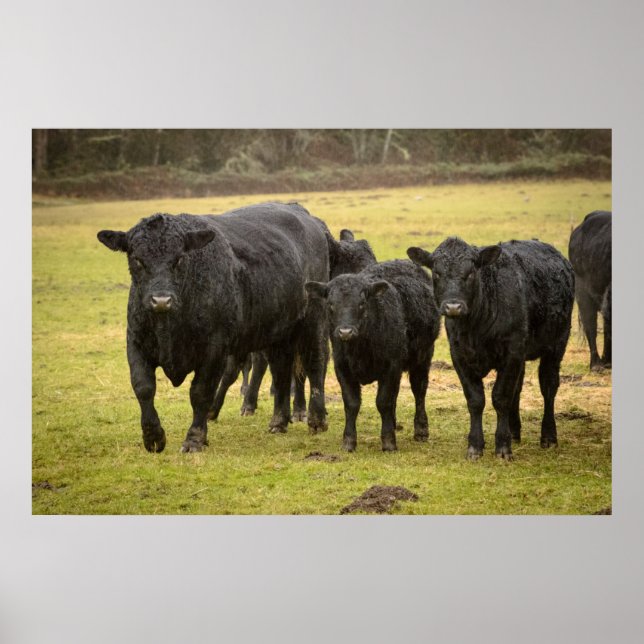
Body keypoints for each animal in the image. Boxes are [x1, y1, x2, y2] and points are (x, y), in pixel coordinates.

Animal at [97, 202, 330, 453]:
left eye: (179, 259)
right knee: (280, 370)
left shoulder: (214, 350)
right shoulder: (136, 343)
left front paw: (194, 439)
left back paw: (316, 419)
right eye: (137, 259)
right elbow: (143, 387)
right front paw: (153, 436)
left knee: (315, 363)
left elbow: (201, 392)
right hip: (277, 333)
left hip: (313, 321)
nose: (161, 300)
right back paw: (278, 421)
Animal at [305, 260, 440, 452]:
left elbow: (383, 402)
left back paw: (421, 430)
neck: (360, 349)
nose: (345, 332)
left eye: (362, 303)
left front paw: (388, 442)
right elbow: (352, 403)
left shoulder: (391, 366)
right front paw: (349, 441)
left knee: (419, 390)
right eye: (330, 304)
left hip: (423, 357)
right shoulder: (342, 367)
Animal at [408, 237, 574, 460]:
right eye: (436, 273)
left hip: (556, 345)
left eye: (470, 273)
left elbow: (501, 397)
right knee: (518, 389)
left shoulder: (511, 353)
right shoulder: (459, 356)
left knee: (548, 386)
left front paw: (502, 446)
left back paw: (548, 436)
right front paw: (475, 446)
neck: (475, 327)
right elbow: (476, 400)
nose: (453, 307)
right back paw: (515, 431)